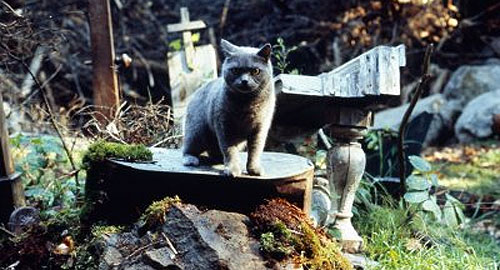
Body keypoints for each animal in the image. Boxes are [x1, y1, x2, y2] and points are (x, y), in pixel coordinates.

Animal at [184, 39, 276, 176]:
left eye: (255, 71)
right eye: (235, 70)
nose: (244, 81)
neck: (247, 105)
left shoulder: (260, 128)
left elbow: (255, 150)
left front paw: (253, 169)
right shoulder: (224, 126)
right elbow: (229, 150)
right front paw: (232, 169)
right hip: (197, 131)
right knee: (187, 147)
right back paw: (191, 159)